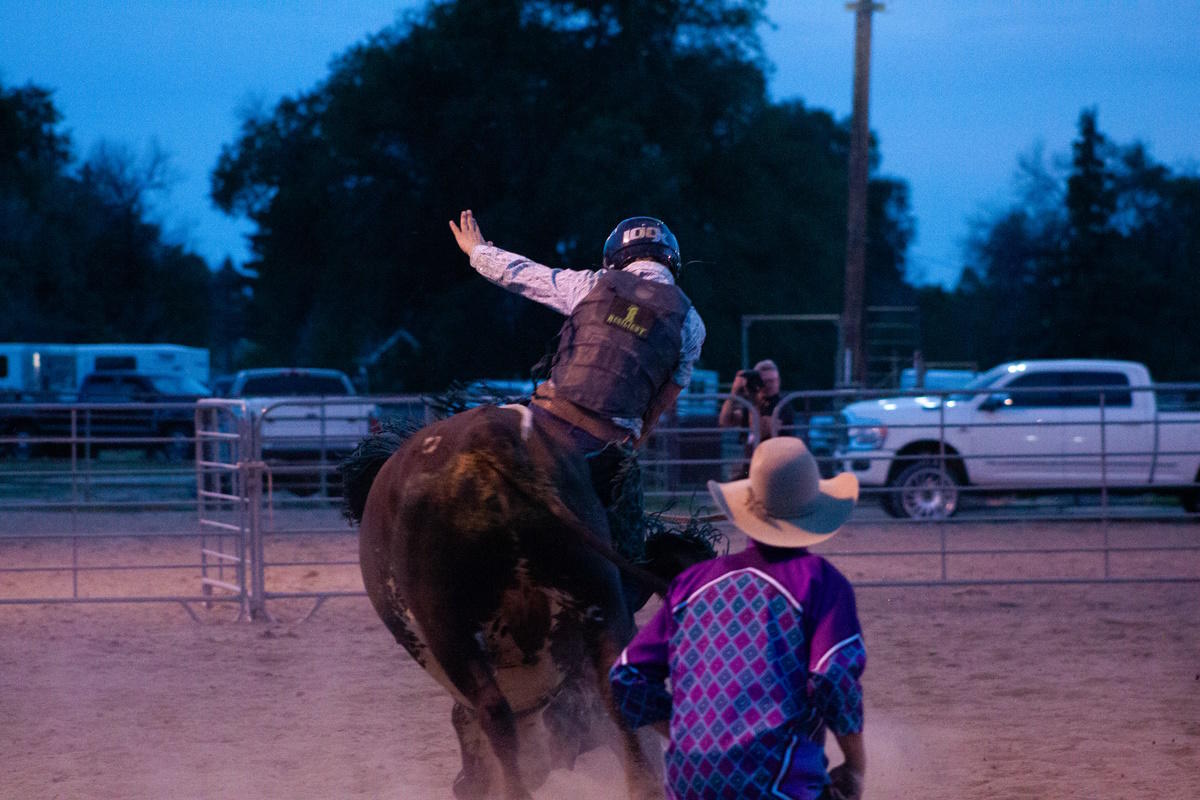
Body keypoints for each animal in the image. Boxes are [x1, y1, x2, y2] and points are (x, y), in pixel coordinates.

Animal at [340, 407, 710, 800]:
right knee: (618, 693)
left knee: (494, 711)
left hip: (444, 622)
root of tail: (490, 435)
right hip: (598, 590)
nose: (463, 785)